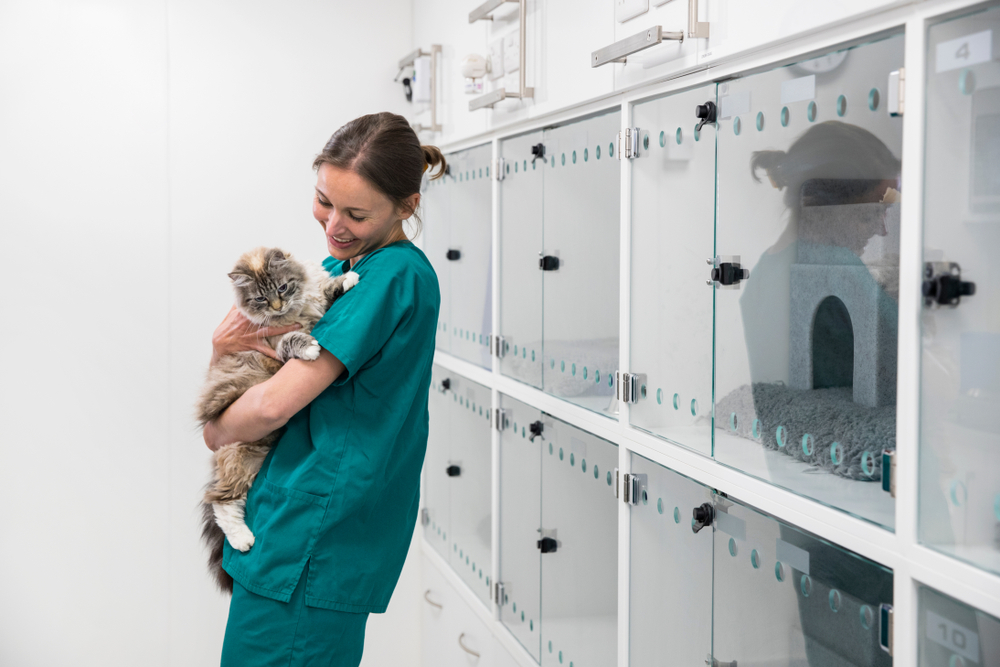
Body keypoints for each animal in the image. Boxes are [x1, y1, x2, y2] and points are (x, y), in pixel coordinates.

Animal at [197, 248, 358, 592]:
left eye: (282, 288)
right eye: (260, 298)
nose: (277, 306)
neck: (295, 309)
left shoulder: (314, 298)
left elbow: (325, 290)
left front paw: (347, 279)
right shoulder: (274, 346)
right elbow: (292, 341)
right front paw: (310, 348)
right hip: (239, 456)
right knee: (220, 502)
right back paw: (243, 541)